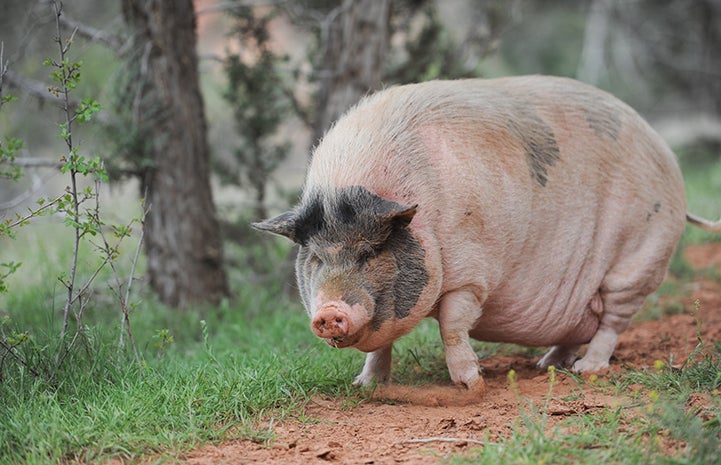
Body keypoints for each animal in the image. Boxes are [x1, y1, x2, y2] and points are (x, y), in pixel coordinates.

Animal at [255, 77, 720, 392]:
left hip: (638, 260)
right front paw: (365, 386)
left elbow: (452, 326)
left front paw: (471, 385)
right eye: (316, 257)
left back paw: (586, 370)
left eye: (370, 253)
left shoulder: (471, 274)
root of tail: (666, 153)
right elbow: (378, 346)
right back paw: (546, 367)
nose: (328, 312)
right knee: (577, 328)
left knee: (612, 322)